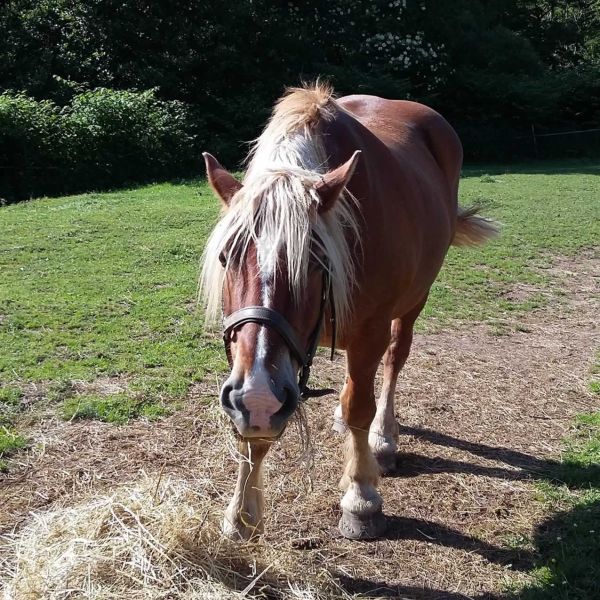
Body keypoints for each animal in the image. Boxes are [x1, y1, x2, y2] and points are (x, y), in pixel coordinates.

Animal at [199, 83, 494, 540]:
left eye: (315, 261)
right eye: (226, 256)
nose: (258, 395)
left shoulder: (369, 331)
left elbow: (361, 408)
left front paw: (361, 498)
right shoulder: (260, 374)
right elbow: (255, 431)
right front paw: (242, 513)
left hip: (415, 300)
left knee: (393, 362)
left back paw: (383, 440)